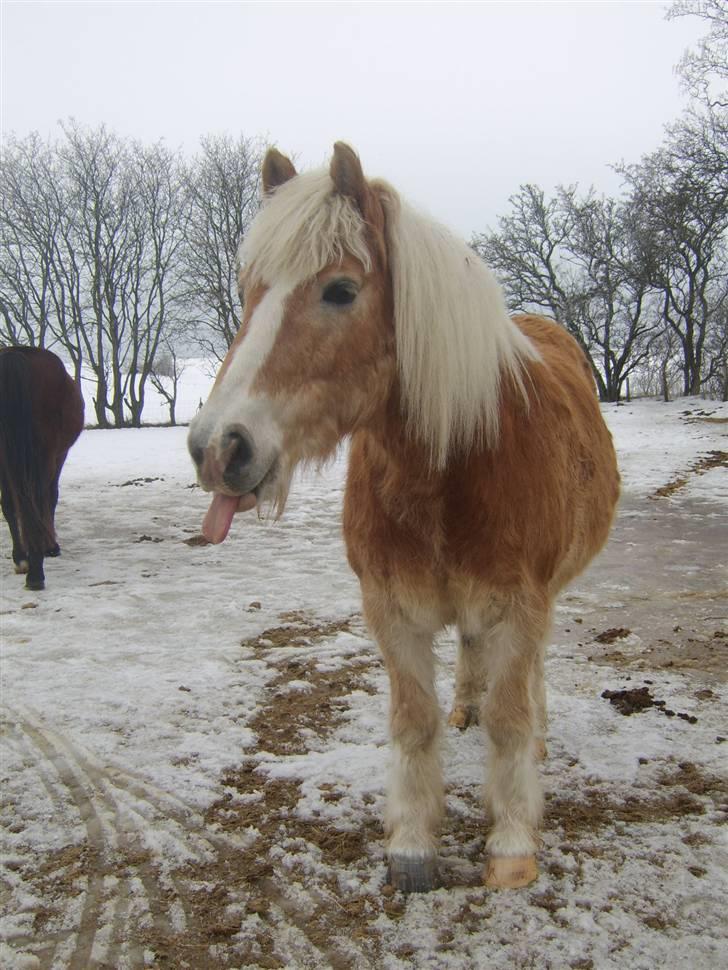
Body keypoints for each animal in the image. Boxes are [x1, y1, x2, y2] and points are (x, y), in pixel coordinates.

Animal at [0, 348, 85, 588]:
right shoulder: (58, 455)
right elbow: (50, 497)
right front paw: (50, 547)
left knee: (14, 502)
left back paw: (23, 559)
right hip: (44, 455)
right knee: (35, 498)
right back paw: (36, 570)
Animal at [188, 142, 620, 892]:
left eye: (340, 290)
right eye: (248, 290)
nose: (218, 449)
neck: (451, 470)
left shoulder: (519, 606)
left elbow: (509, 720)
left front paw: (512, 843)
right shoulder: (391, 611)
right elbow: (415, 722)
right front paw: (414, 845)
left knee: (528, 679)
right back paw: (465, 705)